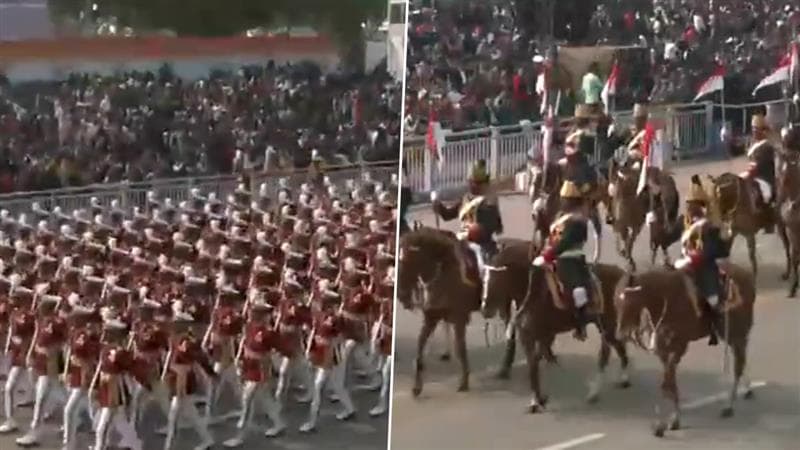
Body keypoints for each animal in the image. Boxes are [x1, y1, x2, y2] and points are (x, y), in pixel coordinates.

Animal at [396, 227, 482, 396]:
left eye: (407, 262)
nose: (402, 295)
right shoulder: (431, 317)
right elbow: (420, 346)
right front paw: (417, 386)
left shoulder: (459, 318)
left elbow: (460, 347)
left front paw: (464, 382)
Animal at [512, 262, 632, 414]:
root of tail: (622, 274)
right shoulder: (529, 339)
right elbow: (533, 367)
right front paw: (537, 400)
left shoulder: (545, 335)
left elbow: (535, 365)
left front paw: (538, 401)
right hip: (603, 325)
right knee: (613, 348)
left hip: (607, 324)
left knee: (611, 350)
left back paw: (604, 388)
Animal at [612, 268, 756, 436]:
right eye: (616, 302)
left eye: (630, 303)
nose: (620, 334)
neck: (666, 299)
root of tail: (747, 274)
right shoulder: (663, 350)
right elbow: (670, 384)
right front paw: (673, 421)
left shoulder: (679, 348)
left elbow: (666, 384)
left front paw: (662, 425)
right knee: (741, 360)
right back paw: (745, 391)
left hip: (736, 332)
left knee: (738, 364)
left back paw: (729, 406)